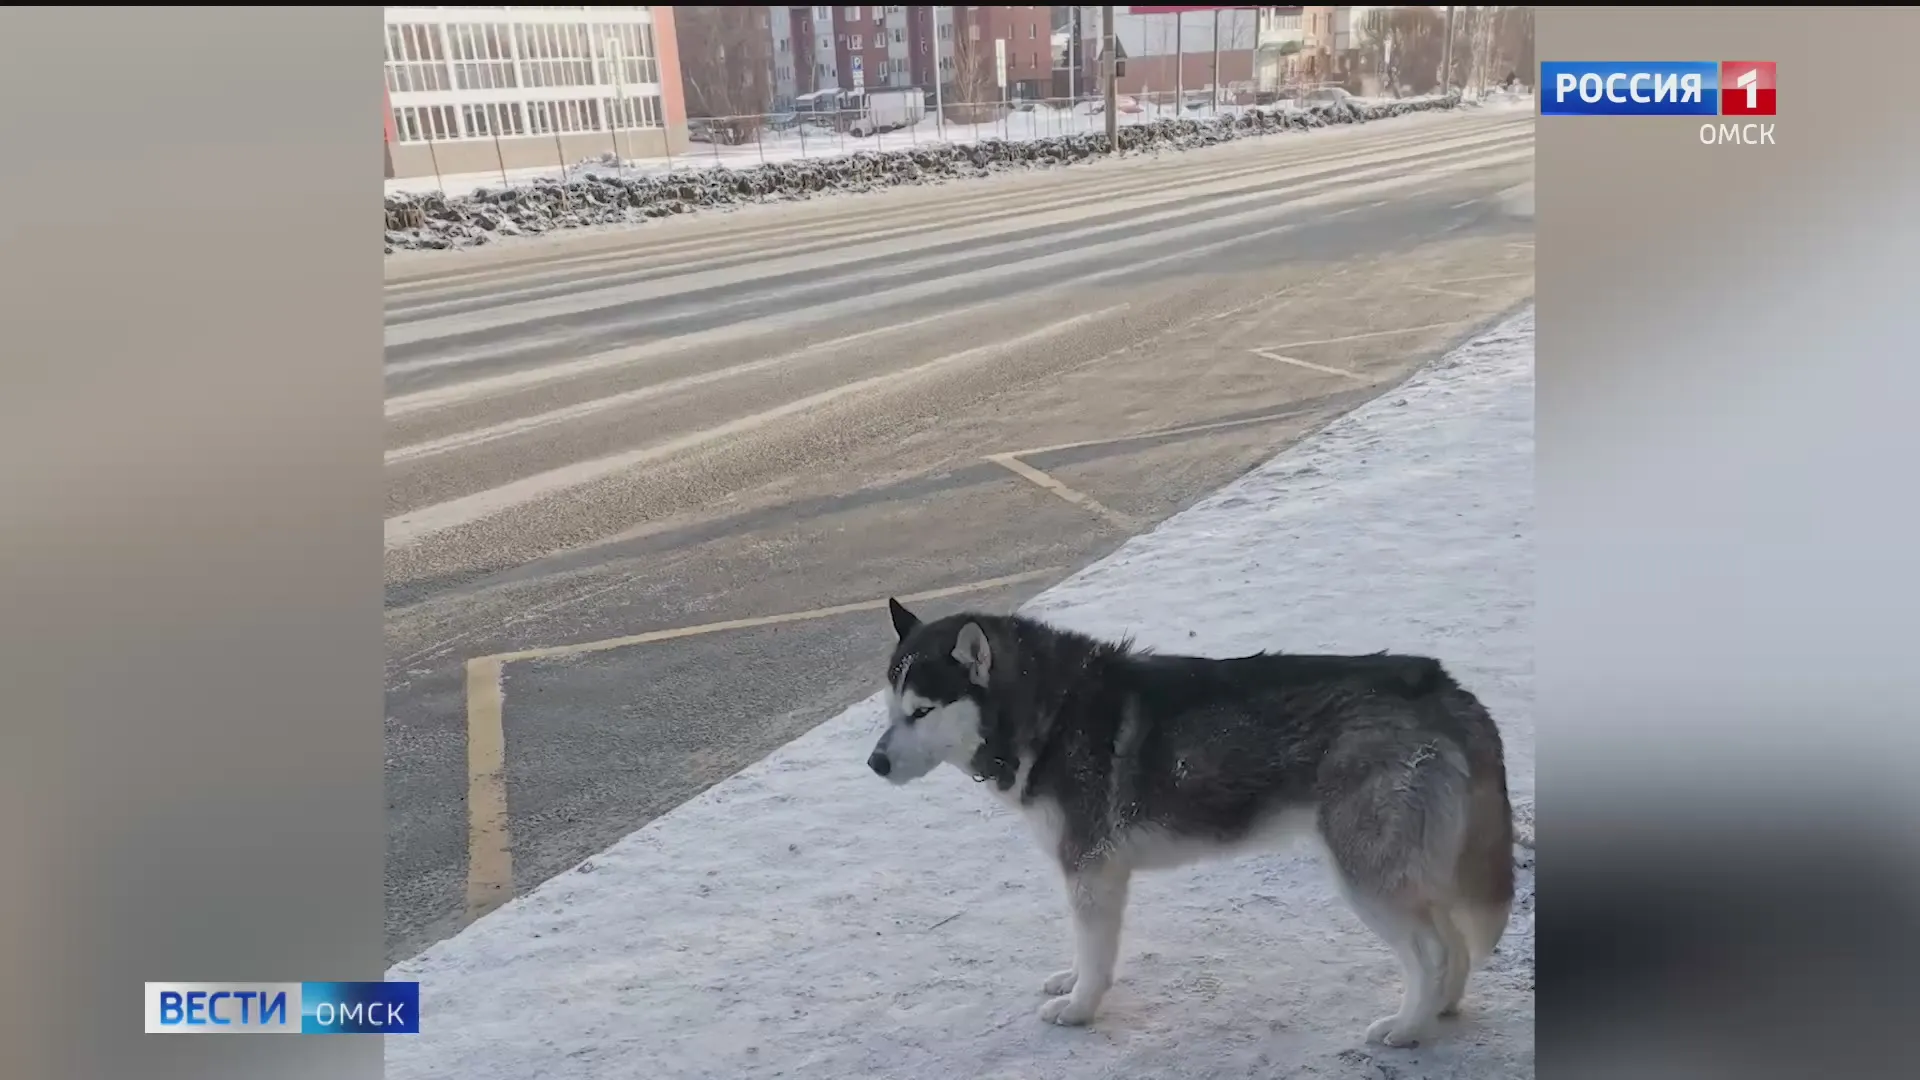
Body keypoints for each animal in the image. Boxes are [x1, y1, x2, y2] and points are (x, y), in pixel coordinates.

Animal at [871, 595, 1512, 1045]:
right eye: (890, 710)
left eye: (921, 711)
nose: (874, 763)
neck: (1047, 711)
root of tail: (1443, 685)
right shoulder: (1095, 871)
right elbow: (1083, 949)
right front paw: (1071, 980)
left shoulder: (1090, 867)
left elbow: (1095, 953)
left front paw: (1080, 1007)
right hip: (1412, 864)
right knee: (1454, 942)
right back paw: (1440, 1010)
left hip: (1366, 871)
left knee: (1432, 950)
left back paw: (1406, 1028)